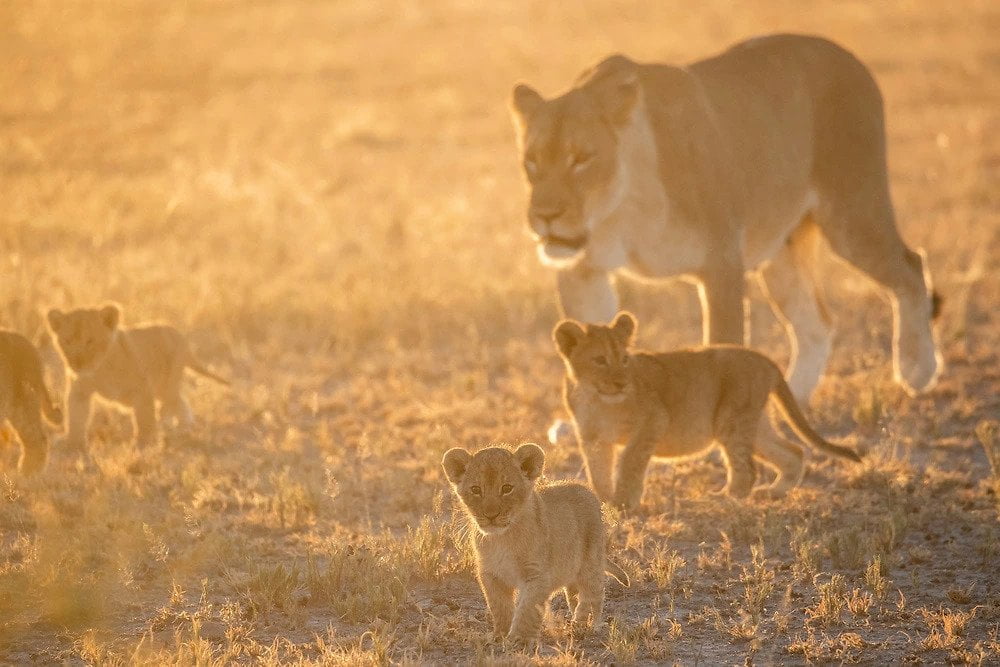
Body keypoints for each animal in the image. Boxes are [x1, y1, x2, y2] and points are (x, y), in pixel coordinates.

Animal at [512, 34, 940, 402]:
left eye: (582, 158)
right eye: (532, 161)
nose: (545, 216)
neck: (619, 208)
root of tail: (847, 56)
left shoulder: (721, 263)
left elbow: (723, 345)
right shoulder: (583, 272)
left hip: (851, 213)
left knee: (910, 267)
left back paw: (917, 370)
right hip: (781, 252)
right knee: (816, 323)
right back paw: (792, 399)